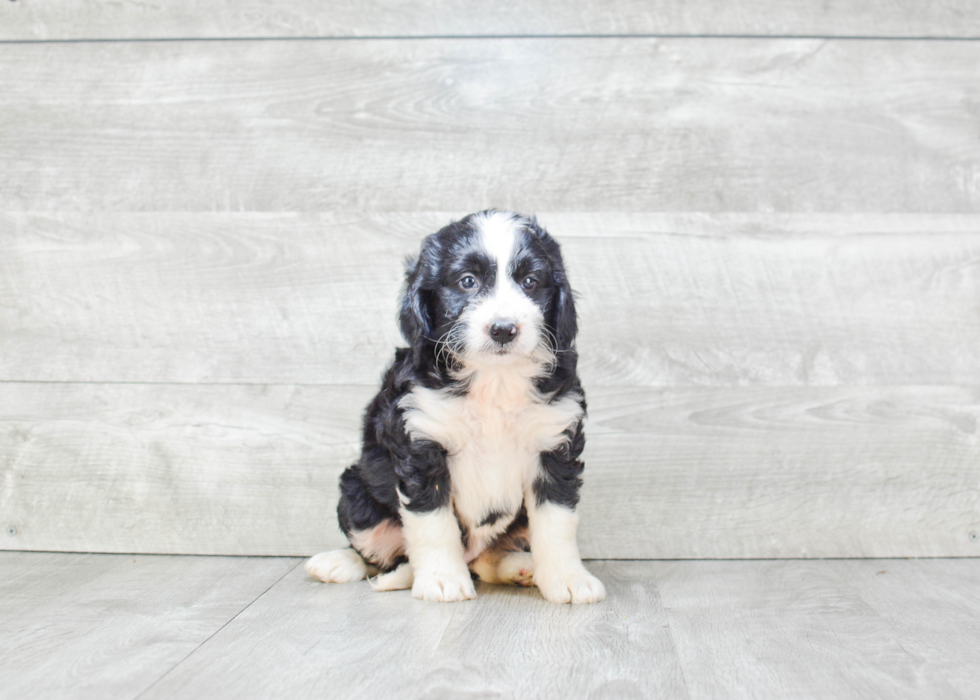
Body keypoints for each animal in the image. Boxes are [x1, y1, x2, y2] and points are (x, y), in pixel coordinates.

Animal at [304, 208, 604, 600]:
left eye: (530, 282)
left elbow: (557, 522)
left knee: (486, 560)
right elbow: (432, 523)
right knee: (377, 552)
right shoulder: (422, 445)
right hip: (355, 490)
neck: (495, 380)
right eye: (467, 281)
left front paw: (568, 579)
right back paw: (337, 563)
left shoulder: (555, 444)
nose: (503, 329)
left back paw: (519, 568)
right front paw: (442, 580)